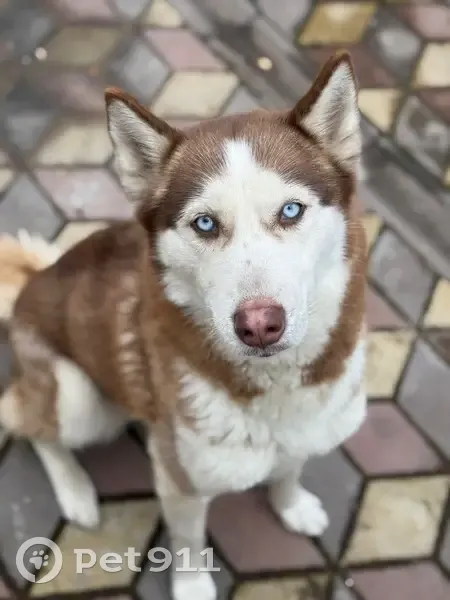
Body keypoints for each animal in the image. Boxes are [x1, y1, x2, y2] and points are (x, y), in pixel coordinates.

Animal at [0, 52, 367, 600]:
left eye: (291, 210)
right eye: (205, 223)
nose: (259, 326)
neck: (274, 389)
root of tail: (33, 280)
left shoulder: (303, 433)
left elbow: (291, 467)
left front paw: (291, 504)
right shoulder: (183, 483)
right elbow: (190, 543)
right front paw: (193, 586)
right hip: (79, 399)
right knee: (30, 424)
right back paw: (75, 491)